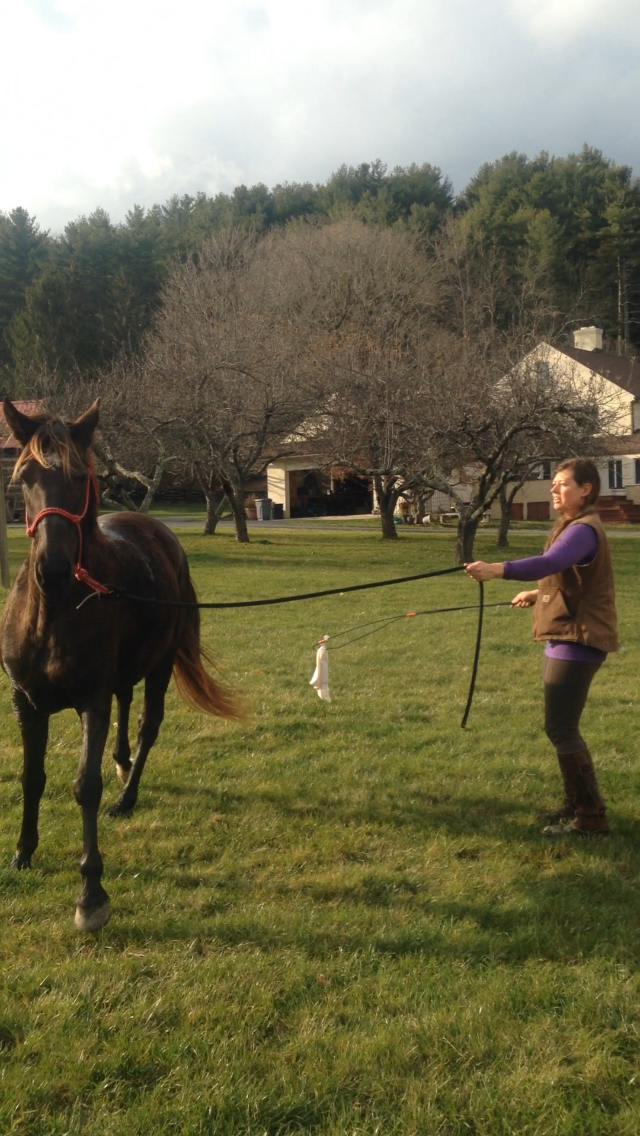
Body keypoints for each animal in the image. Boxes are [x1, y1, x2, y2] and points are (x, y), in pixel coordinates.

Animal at [0, 399, 237, 932]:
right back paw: (123, 765)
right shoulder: (26, 702)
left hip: (161, 666)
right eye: (24, 476)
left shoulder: (91, 700)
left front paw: (91, 895)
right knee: (127, 708)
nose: (52, 570)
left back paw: (126, 796)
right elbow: (31, 777)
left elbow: (84, 787)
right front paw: (23, 852)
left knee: (148, 725)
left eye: (80, 477)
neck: (55, 612)